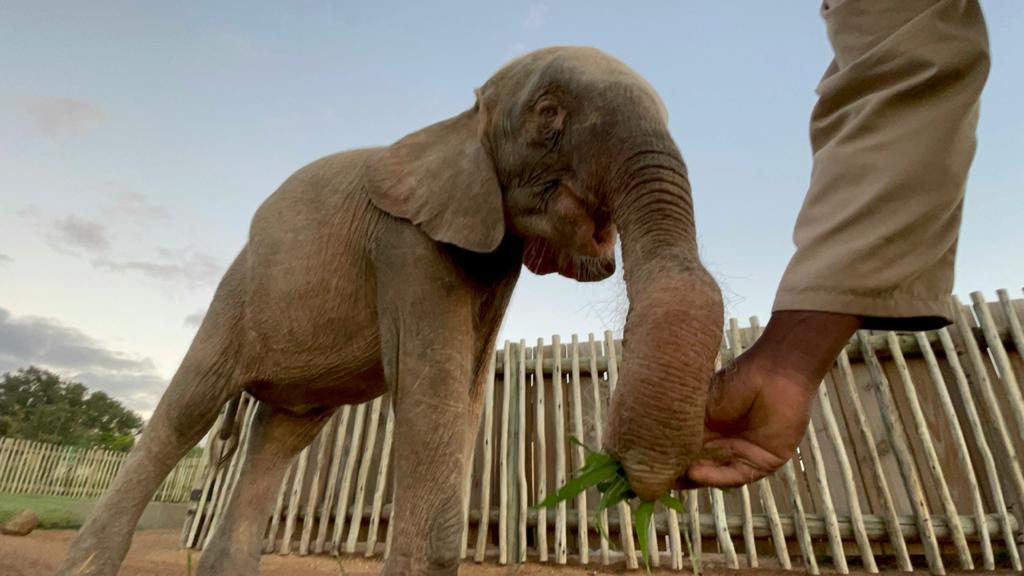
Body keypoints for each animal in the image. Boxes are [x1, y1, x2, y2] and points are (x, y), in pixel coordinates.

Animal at [56, 46, 723, 576]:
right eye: (548, 112)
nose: (631, 479)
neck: (460, 121)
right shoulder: (406, 241)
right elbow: (432, 393)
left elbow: (466, 397)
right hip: (239, 287)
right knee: (188, 410)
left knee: (280, 439)